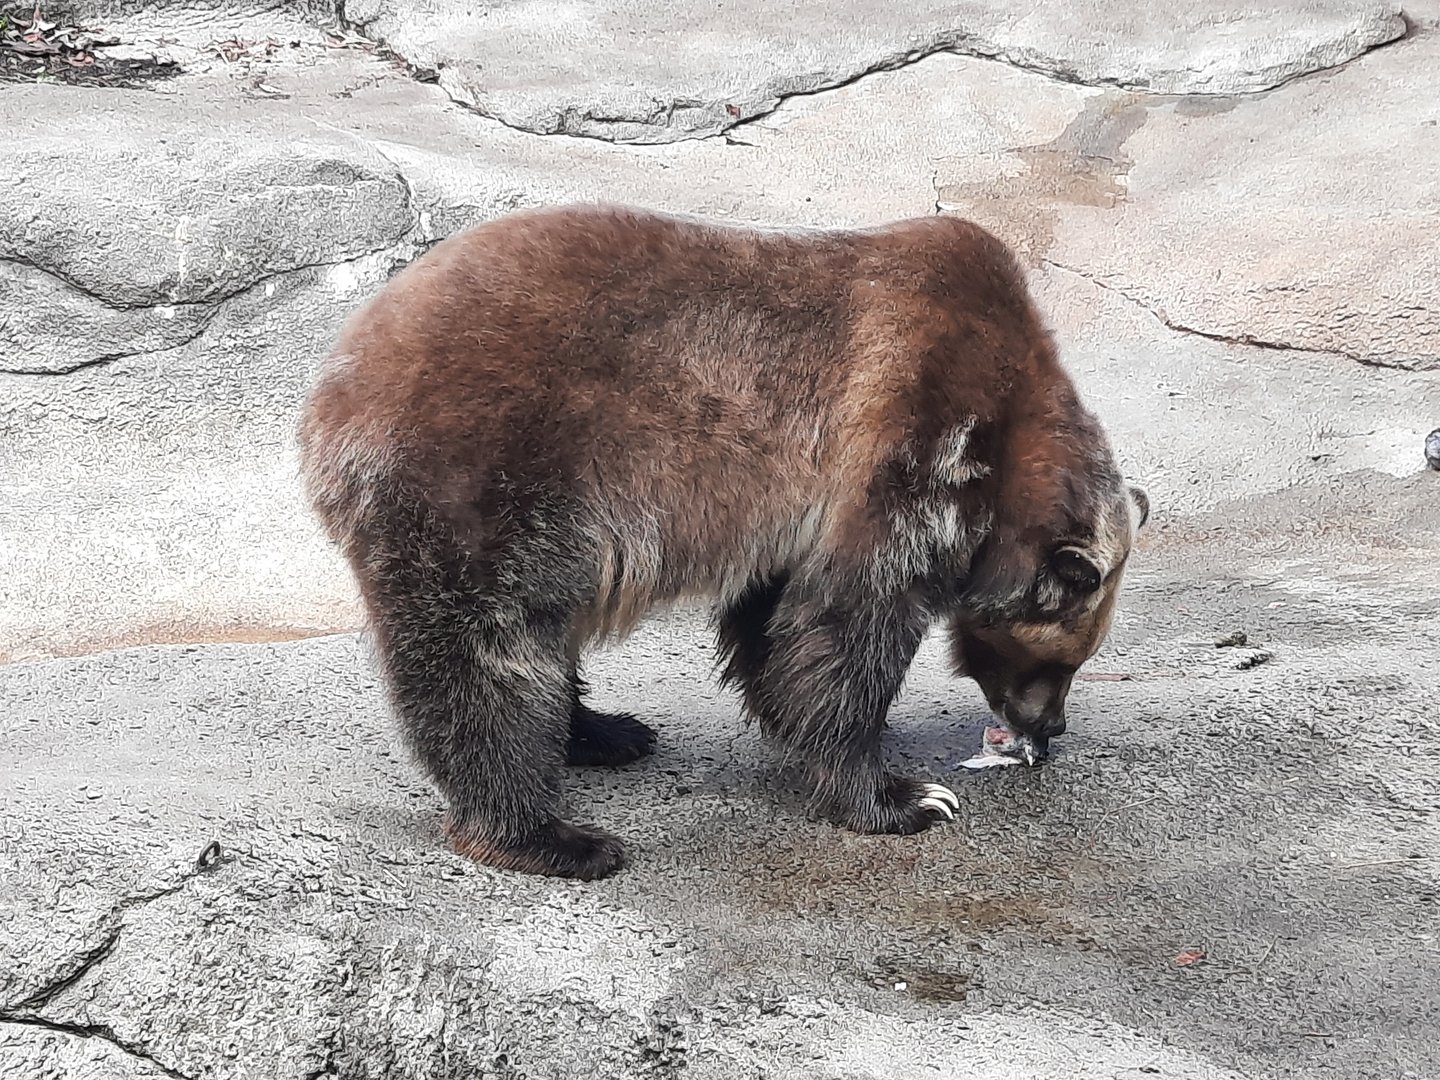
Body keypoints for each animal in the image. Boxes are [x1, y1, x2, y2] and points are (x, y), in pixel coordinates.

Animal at [296, 203, 1149, 880]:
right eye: (1059, 661)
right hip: (488, 476)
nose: (1050, 729)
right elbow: (853, 619)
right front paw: (908, 795)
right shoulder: (914, 432)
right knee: (487, 651)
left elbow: (777, 626)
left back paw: (607, 731)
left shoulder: (796, 513)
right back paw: (552, 834)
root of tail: (330, 392)